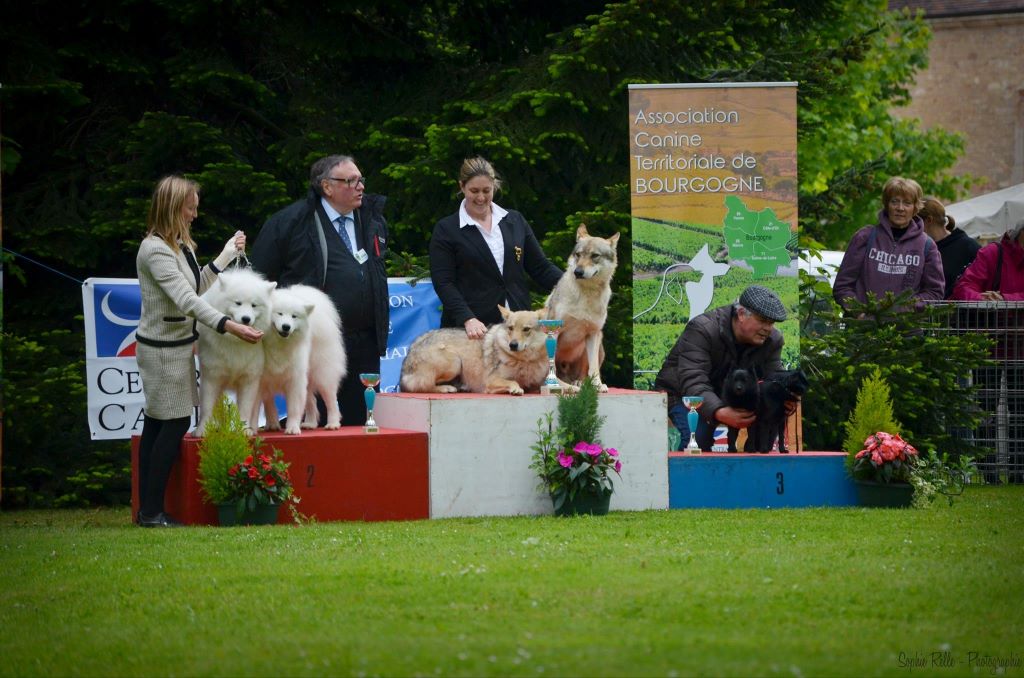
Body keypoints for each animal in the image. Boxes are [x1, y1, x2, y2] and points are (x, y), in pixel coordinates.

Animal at [194, 268, 276, 438]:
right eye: (237, 303)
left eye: (254, 305)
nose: (246, 319)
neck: (235, 341)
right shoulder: (212, 376)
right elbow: (207, 406)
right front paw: (203, 430)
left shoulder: (249, 379)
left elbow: (245, 407)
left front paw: (244, 430)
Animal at [260, 284, 348, 432]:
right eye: (279, 313)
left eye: (294, 316)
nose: (286, 326)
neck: (278, 344)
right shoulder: (262, 380)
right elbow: (268, 404)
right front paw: (272, 424)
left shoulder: (295, 378)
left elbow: (294, 408)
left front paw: (292, 428)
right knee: (311, 401)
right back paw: (310, 423)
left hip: (322, 374)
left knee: (331, 401)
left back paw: (333, 424)